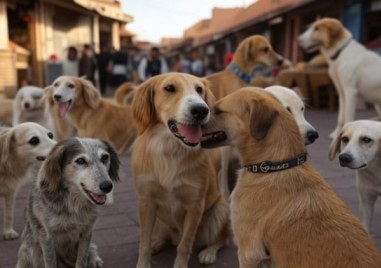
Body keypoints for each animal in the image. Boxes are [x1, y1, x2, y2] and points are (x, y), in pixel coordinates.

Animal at [16, 138, 119, 268]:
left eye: (105, 157)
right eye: (80, 161)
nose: (107, 186)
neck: (73, 204)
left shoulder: (86, 232)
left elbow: (81, 260)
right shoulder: (46, 237)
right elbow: (50, 262)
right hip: (30, 251)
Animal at [131, 72, 229, 266]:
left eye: (199, 89)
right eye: (169, 88)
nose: (201, 110)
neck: (171, 151)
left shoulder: (195, 205)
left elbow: (184, 246)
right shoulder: (146, 202)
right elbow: (143, 244)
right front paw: (143, 262)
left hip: (220, 210)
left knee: (222, 239)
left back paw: (209, 253)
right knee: (166, 239)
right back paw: (157, 243)